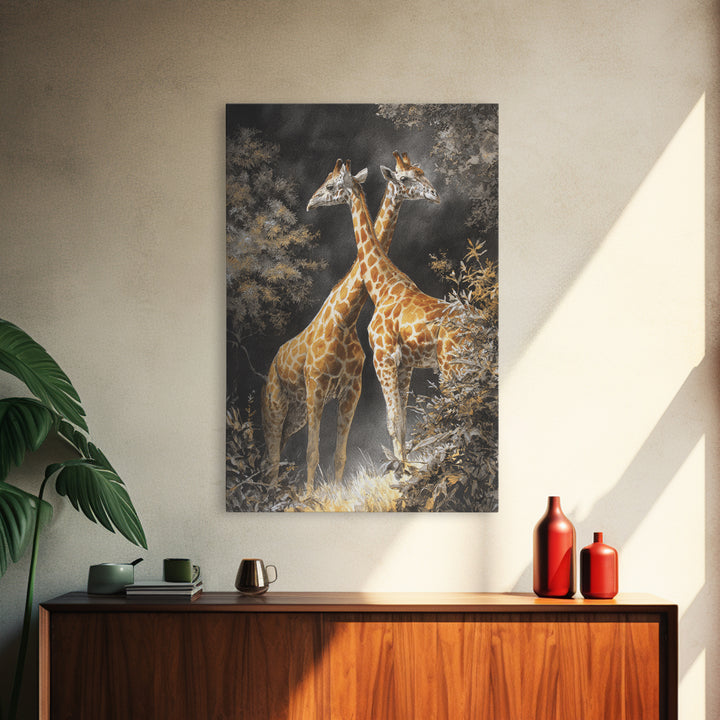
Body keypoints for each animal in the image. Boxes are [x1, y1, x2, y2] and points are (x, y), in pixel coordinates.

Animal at [262, 154, 439, 494]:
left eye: (331, 185)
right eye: (407, 177)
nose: (311, 202)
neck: (345, 319)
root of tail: (274, 358)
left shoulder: (352, 388)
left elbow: (342, 452)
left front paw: (337, 490)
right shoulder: (317, 387)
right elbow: (314, 451)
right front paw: (310, 497)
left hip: (295, 412)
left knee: (278, 450)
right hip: (277, 404)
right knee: (272, 451)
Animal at [307, 159, 466, 466]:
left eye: (330, 186)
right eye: (408, 177)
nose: (310, 202)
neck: (381, 285)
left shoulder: (383, 358)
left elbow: (392, 421)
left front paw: (401, 470)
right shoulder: (404, 364)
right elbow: (401, 422)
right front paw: (405, 467)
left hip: (451, 366)